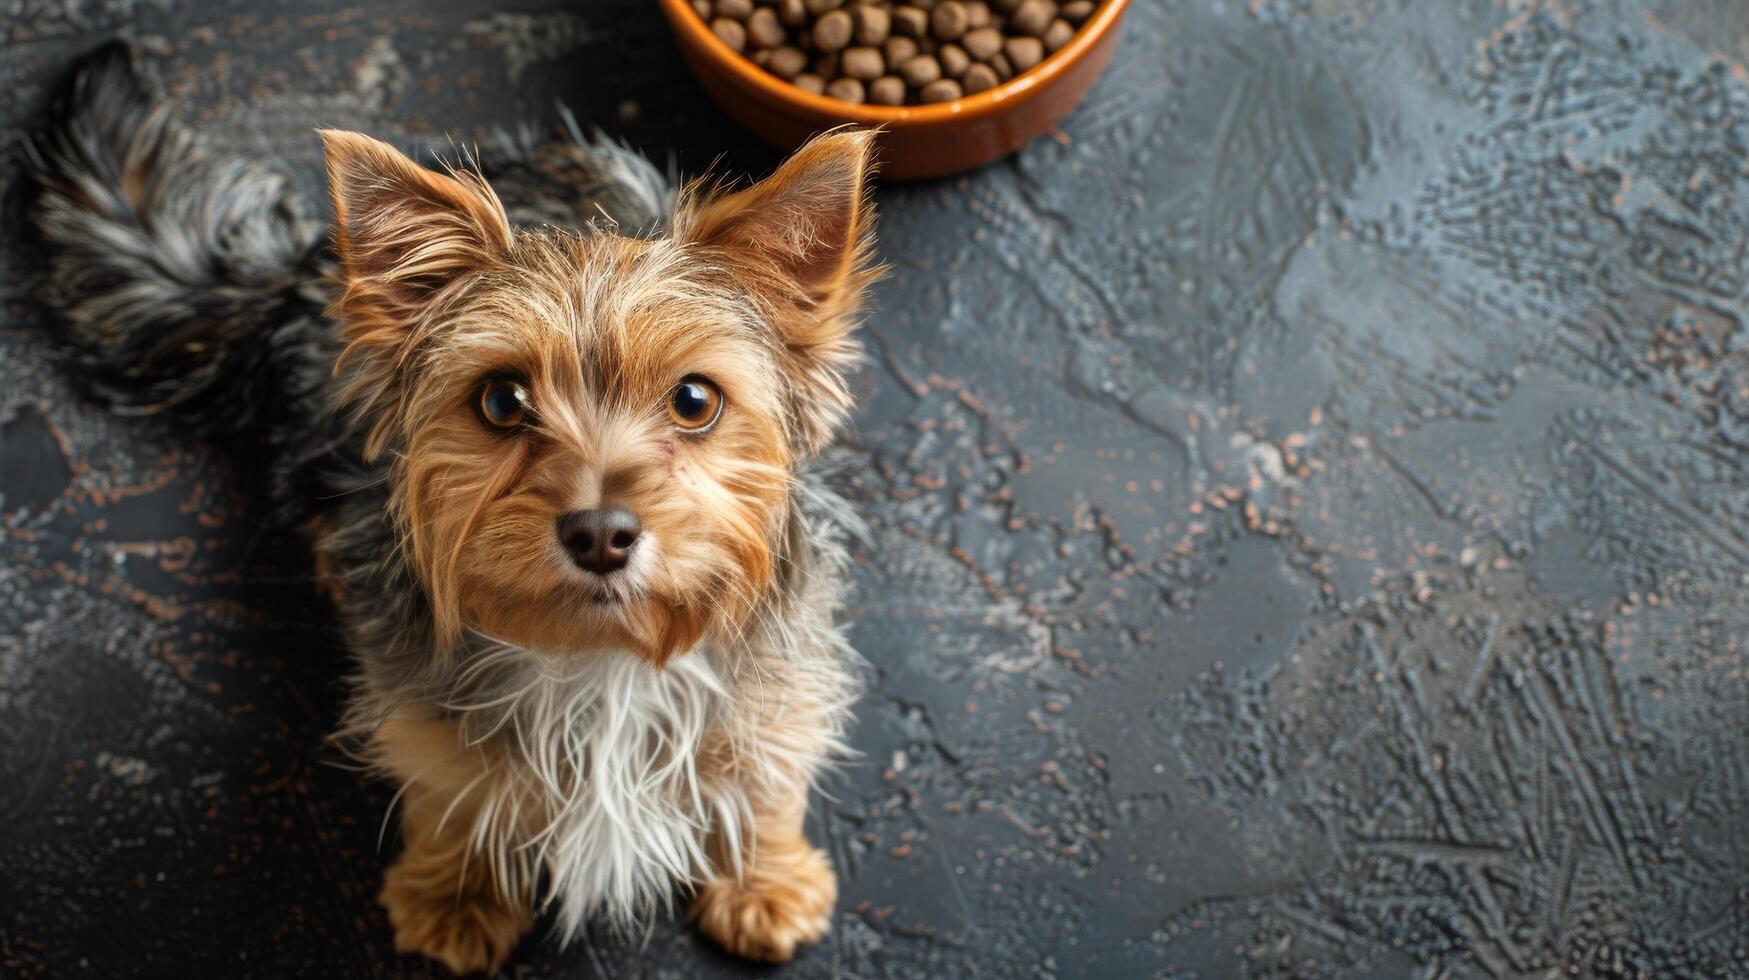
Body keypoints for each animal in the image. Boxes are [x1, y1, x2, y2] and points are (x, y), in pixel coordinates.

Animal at [34, 43, 881, 973]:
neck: (601, 657)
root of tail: (303, 267)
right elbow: (447, 778)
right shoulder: (417, 696)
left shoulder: (779, 673)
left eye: (695, 399)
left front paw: (763, 879)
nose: (600, 533)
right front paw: (456, 893)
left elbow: (769, 763)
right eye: (502, 400)